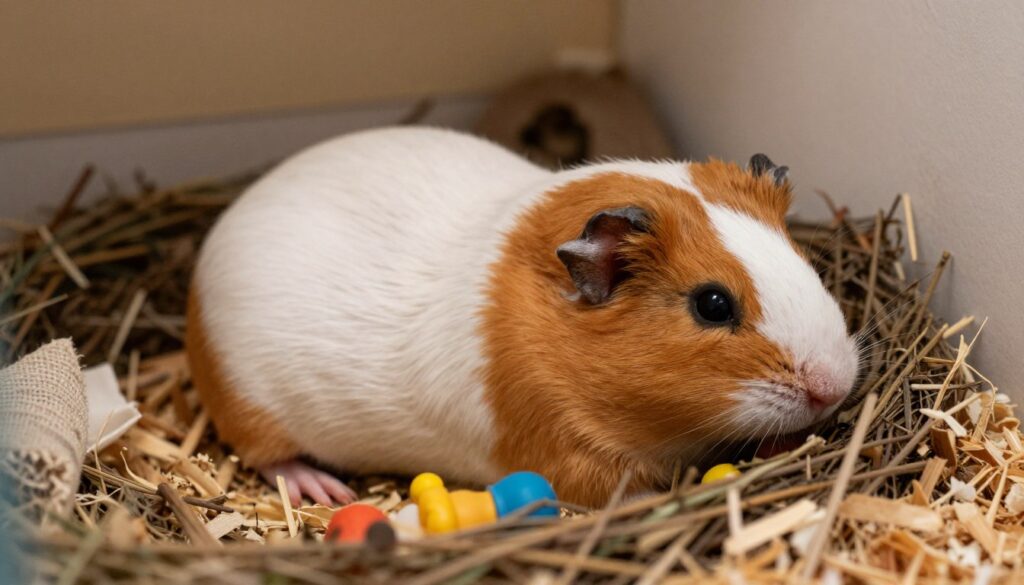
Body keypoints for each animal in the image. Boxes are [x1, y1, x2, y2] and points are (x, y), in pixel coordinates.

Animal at [186, 127, 860, 507]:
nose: (833, 386)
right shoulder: (568, 455)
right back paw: (323, 489)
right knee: (272, 458)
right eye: (712, 304)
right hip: (253, 410)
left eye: (801, 260)